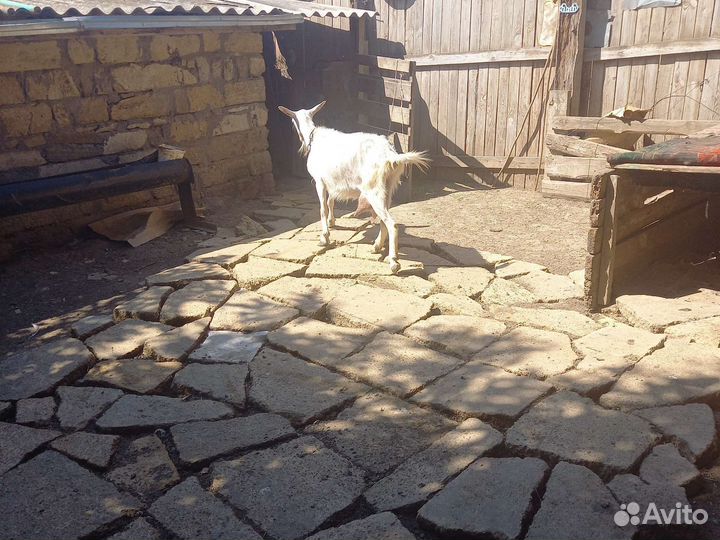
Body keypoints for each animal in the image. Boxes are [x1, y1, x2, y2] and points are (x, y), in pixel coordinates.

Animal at [278, 101, 430, 273]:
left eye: (292, 122)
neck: (314, 138)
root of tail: (390, 156)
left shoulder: (319, 181)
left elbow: (323, 208)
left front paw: (324, 237)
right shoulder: (332, 182)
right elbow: (331, 202)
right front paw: (332, 222)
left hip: (373, 189)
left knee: (392, 224)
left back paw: (393, 262)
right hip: (388, 188)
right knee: (384, 219)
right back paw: (376, 246)